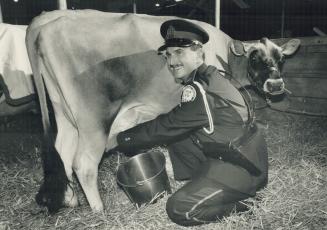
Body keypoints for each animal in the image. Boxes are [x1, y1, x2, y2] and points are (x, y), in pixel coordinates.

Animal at [26, 10, 302, 212]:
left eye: (281, 58)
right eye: (254, 57)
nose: (276, 85)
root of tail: (46, 25)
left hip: (63, 111)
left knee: (62, 150)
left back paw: (71, 199)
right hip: (93, 120)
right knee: (83, 162)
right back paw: (99, 210)